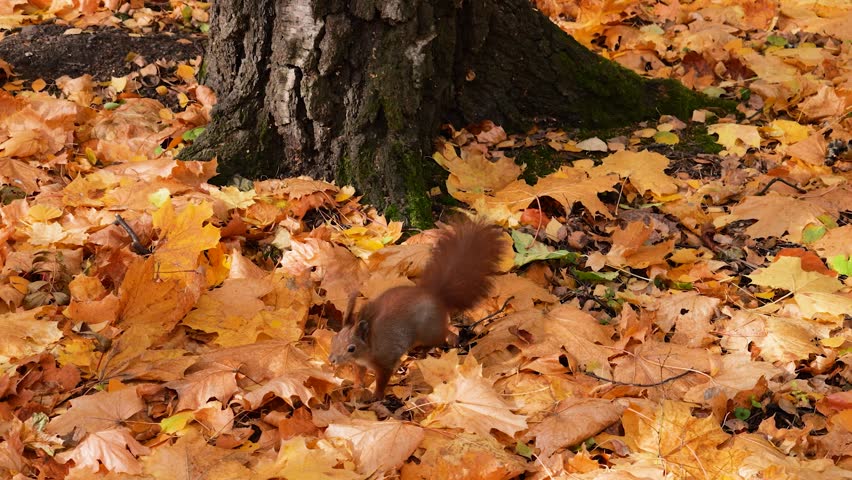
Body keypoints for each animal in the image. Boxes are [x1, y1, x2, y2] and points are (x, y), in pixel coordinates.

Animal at [329, 220, 505, 399]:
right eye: (334, 339)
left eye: (351, 348)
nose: (332, 360)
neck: (370, 345)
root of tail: (435, 296)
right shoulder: (360, 364)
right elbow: (359, 374)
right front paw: (357, 387)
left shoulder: (385, 362)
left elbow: (382, 380)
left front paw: (376, 396)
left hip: (428, 330)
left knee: (440, 336)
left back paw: (442, 343)